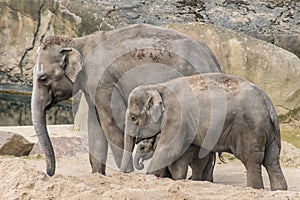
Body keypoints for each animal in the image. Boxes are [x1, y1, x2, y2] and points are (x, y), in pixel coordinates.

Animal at [31, 23, 221, 177]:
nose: (48, 173)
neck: (78, 42)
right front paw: (98, 175)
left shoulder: (103, 80)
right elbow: (95, 126)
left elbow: (112, 123)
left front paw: (125, 173)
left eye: (43, 79)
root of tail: (214, 60)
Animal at [120, 72, 288, 191]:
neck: (159, 86)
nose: (127, 172)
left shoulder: (177, 116)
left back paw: (255, 188)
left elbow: (168, 150)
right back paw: (279, 190)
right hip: (271, 132)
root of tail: (268, 104)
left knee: (252, 161)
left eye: (133, 118)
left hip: (250, 129)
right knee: (272, 161)